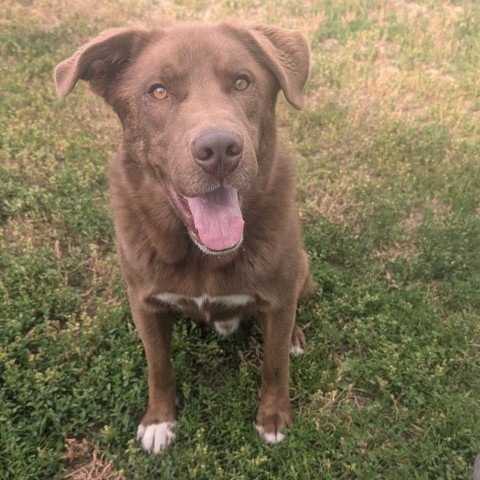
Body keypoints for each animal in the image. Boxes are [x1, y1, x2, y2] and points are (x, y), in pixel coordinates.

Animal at [54, 22, 314, 454]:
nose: (220, 148)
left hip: (302, 269)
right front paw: (159, 421)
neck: (203, 255)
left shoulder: (277, 299)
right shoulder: (145, 303)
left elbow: (275, 363)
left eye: (242, 82)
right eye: (158, 91)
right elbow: (158, 365)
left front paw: (273, 417)